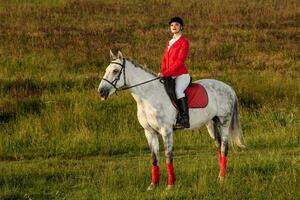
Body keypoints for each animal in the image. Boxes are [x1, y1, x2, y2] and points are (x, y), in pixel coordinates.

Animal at [97, 50, 245, 191]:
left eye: (115, 71)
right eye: (106, 70)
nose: (101, 92)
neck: (148, 97)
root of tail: (228, 87)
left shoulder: (166, 131)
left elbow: (168, 156)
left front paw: (170, 185)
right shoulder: (149, 132)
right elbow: (154, 158)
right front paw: (153, 185)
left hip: (224, 123)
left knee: (224, 148)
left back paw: (222, 178)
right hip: (212, 124)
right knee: (218, 146)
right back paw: (220, 175)